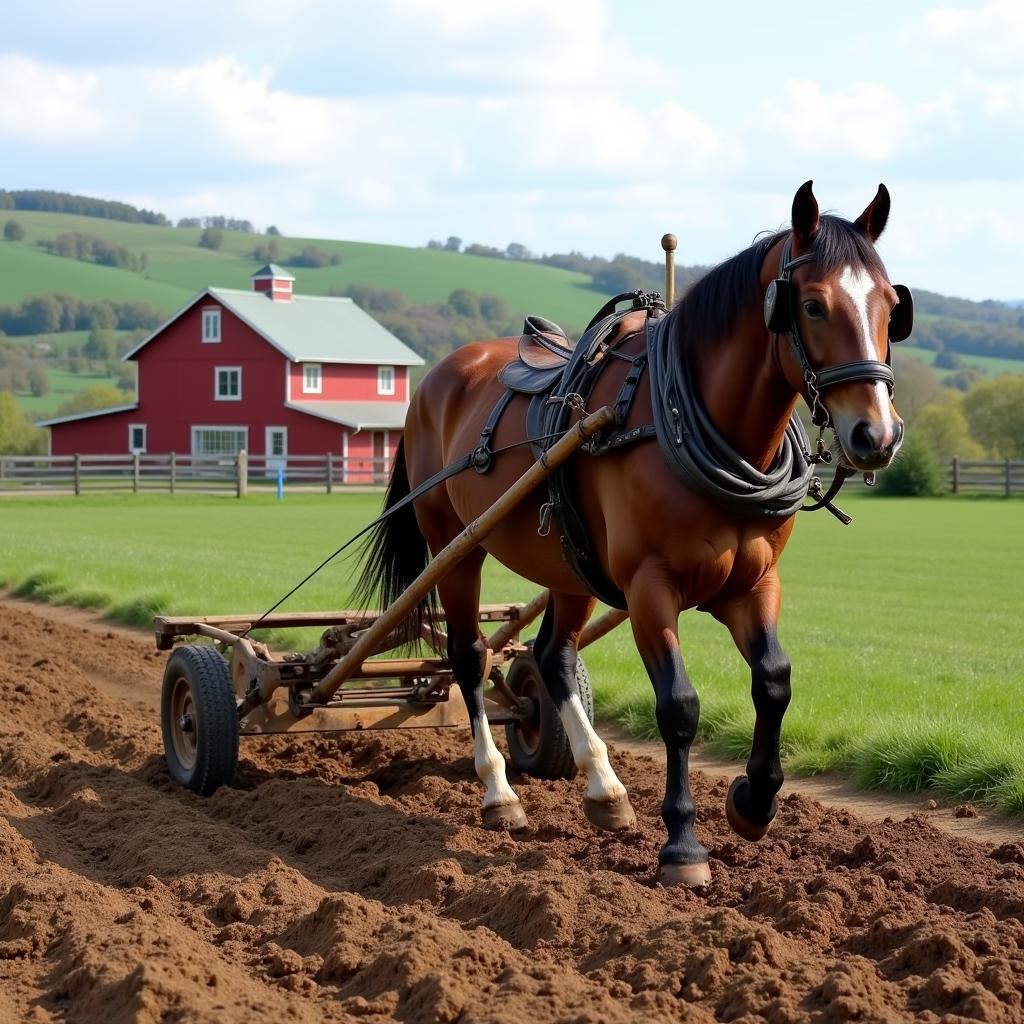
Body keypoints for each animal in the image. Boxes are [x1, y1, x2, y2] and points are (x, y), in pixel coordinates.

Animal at [356, 184, 909, 888]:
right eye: (812, 304)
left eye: (892, 305)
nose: (877, 435)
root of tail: (436, 378)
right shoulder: (650, 588)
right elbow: (678, 706)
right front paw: (683, 846)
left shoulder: (754, 582)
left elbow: (775, 681)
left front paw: (754, 803)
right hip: (456, 548)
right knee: (470, 657)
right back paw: (499, 794)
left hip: (570, 564)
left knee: (552, 657)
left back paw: (604, 787)